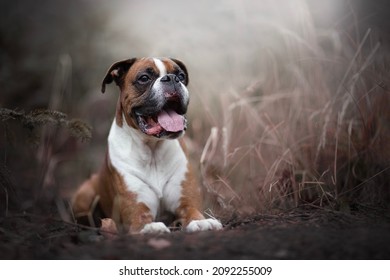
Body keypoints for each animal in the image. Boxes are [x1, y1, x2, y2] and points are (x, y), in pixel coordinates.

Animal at [71, 57, 222, 234]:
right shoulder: (137, 208)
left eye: (181, 75)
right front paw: (150, 227)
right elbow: (141, 218)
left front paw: (202, 222)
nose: (172, 78)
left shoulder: (186, 201)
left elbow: (193, 211)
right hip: (84, 193)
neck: (152, 149)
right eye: (144, 78)